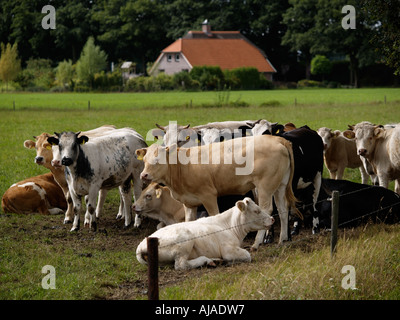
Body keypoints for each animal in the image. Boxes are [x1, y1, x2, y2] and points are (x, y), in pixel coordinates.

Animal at [136, 134, 298, 249]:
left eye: (158, 160)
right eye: (144, 160)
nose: (143, 175)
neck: (182, 167)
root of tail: (277, 139)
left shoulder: (208, 195)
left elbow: (214, 216)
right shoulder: (189, 203)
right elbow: (189, 222)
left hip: (265, 186)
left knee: (268, 209)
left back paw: (257, 243)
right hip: (280, 185)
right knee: (283, 209)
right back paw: (282, 239)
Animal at [137, 198, 276, 270]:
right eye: (256, 211)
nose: (272, 219)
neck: (230, 227)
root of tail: (142, 244)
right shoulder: (228, 250)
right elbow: (248, 255)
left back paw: (214, 260)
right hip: (185, 242)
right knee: (181, 265)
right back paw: (207, 261)